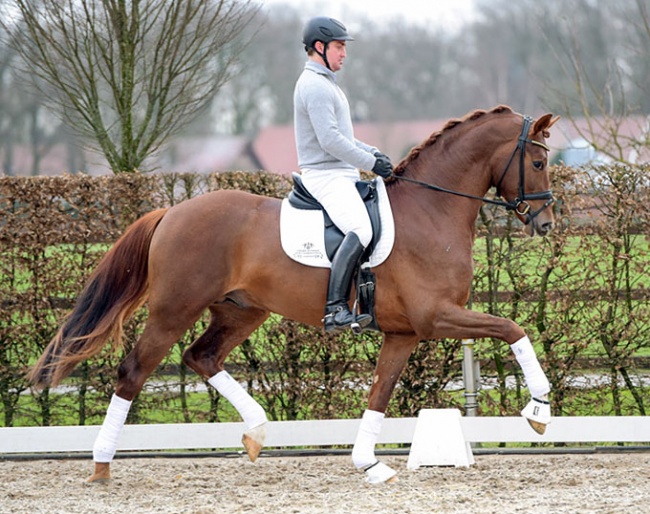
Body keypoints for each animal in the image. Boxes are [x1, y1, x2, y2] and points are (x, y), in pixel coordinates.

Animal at [29, 106, 556, 482]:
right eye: (538, 161)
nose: (547, 223)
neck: (432, 209)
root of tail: (172, 211)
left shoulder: (404, 333)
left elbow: (379, 392)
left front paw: (369, 463)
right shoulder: (437, 316)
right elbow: (513, 328)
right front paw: (538, 410)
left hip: (241, 312)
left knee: (202, 356)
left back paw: (257, 431)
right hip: (173, 310)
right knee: (135, 371)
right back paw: (101, 465)